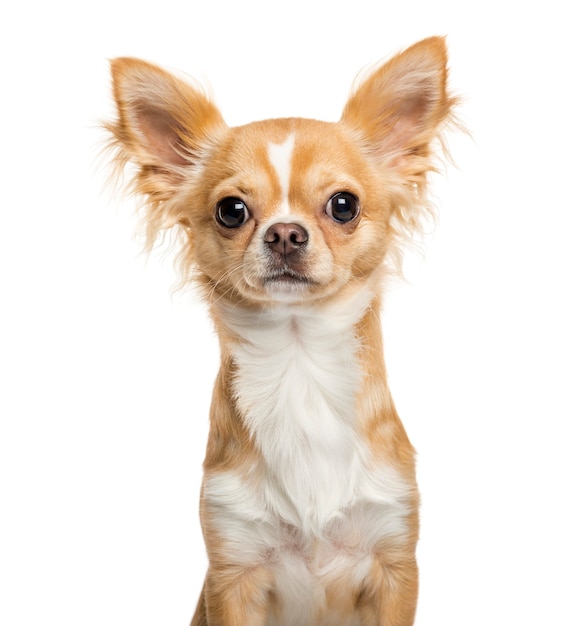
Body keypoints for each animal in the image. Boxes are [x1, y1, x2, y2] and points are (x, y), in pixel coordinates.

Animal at [103, 36, 454, 620]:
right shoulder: (233, 568)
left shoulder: (394, 562)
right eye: (231, 210)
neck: (299, 363)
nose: (286, 232)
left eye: (343, 205)